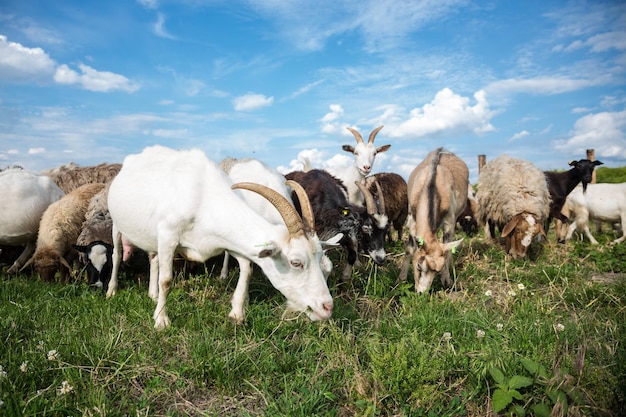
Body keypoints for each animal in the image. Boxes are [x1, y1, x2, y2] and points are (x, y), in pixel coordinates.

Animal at [108, 145, 342, 328]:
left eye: (322, 263)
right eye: (296, 262)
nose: (327, 307)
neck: (203, 199)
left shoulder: (227, 242)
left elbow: (247, 269)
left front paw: (237, 313)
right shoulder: (168, 235)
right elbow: (166, 280)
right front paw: (161, 321)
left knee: (153, 258)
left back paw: (152, 294)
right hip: (116, 223)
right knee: (117, 255)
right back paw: (112, 290)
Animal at [398, 148, 466, 290]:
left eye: (437, 271)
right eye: (419, 266)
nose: (421, 292)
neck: (432, 185)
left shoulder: (450, 221)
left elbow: (447, 252)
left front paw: (447, 281)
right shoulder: (413, 219)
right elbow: (409, 250)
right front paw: (400, 280)